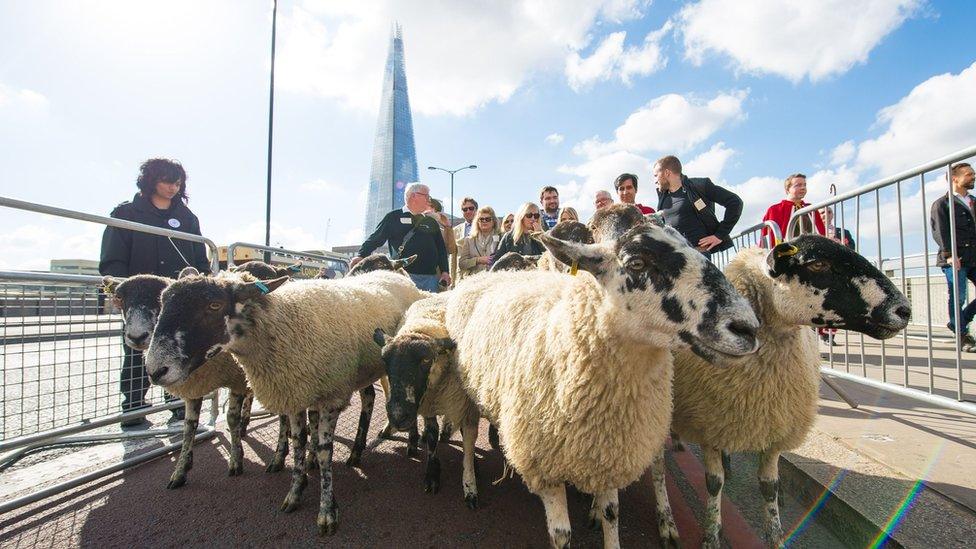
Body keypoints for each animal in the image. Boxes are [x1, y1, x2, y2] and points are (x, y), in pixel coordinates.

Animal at [144, 270, 424, 536]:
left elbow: (325, 452)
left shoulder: (331, 396)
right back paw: (355, 452)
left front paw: (326, 512)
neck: (282, 325)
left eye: (214, 305)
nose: (155, 371)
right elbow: (299, 441)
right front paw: (295, 491)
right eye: (162, 304)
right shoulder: (295, 394)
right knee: (368, 398)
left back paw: (404, 442)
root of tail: (395, 273)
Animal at [668, 238, 912, 544]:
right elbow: (713, 483)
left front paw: (776, 534)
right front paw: (712, 534)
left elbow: (768, 485)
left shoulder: (777, 424)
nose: (904, 310)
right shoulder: (708, 424)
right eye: (818, 264)